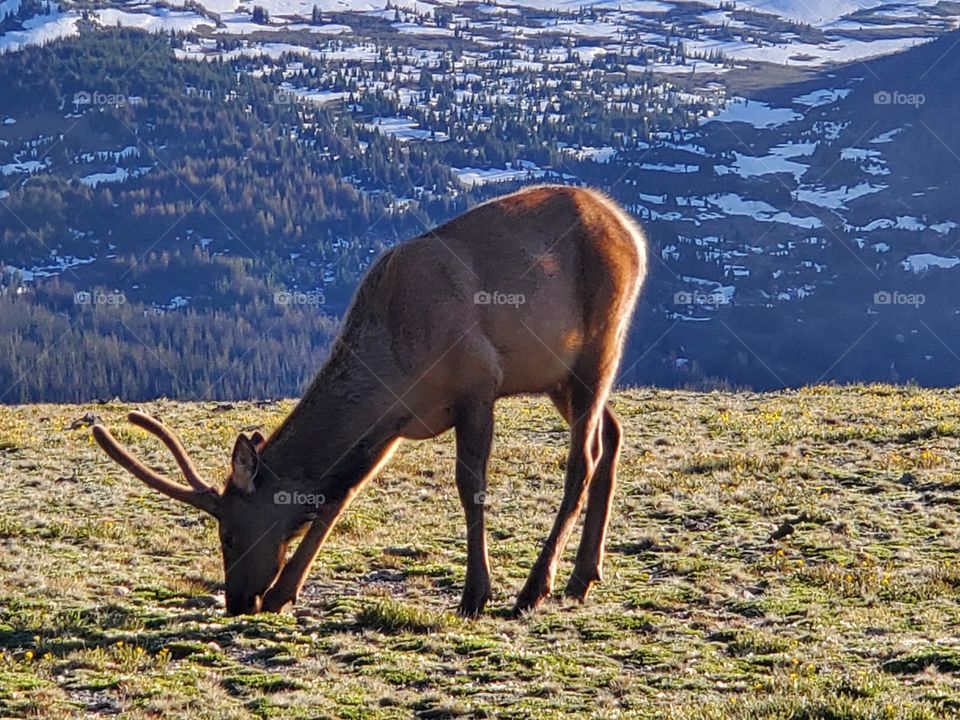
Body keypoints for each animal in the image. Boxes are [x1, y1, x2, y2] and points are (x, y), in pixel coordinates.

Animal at [92, 184, 647, 617]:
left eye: (227, 532)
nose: (237, 601)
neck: (391, 362)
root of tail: (632, 232)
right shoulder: (393, 424)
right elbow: (341, 494)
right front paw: (284, 593)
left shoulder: (477, 383)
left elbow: (470, 488)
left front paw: (475, 594)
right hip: (558, 375)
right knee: (613, 434)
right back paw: (582, 576)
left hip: (600, 344)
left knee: (584, 457)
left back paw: (537, 587)